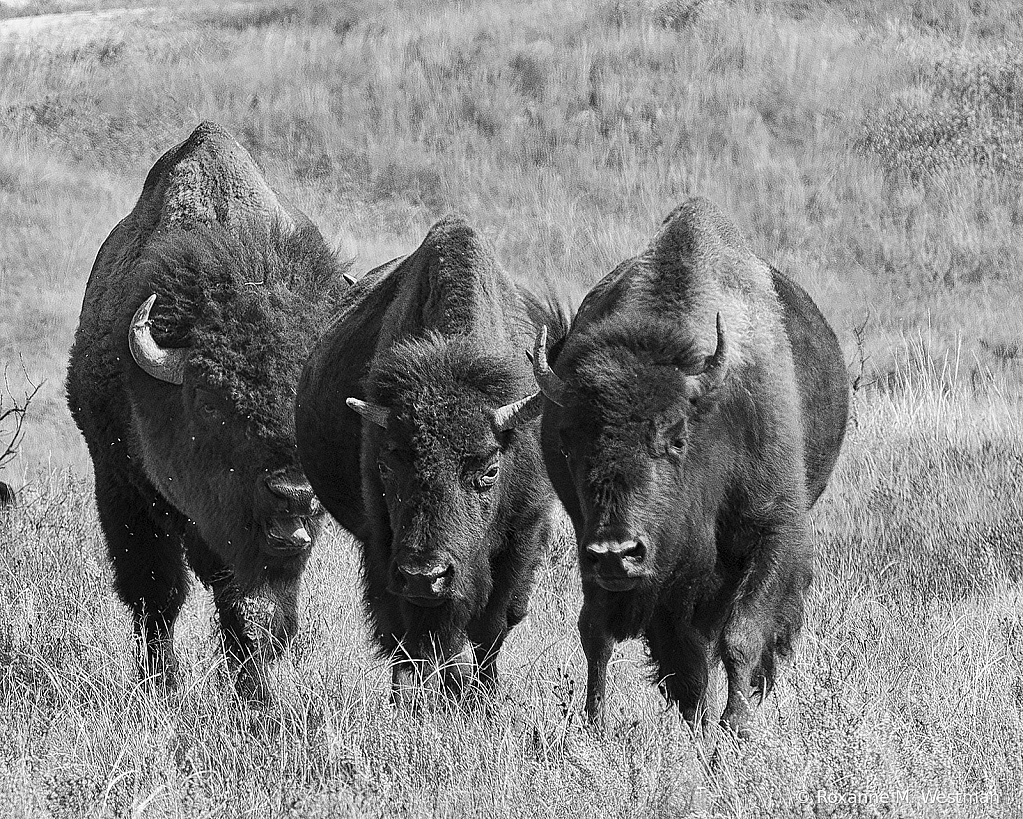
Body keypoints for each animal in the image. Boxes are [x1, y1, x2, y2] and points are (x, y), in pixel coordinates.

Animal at [67, 121, 351, 695]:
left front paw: (254, 697)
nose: (294, 491)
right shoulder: (118, 486)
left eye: (313, 407)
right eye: (212, 405)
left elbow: (257, 612)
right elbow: (155, 594)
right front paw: (160, 686)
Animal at [296, 215, 564, 695]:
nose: (426, 576)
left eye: (489, 470)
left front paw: (481, 698)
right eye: (386, 464)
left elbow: (493, 626)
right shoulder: (385, 547)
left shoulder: (525, 531)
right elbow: (413, 633)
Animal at [527, 198, 847, 736]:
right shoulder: (595, 550)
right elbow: (599, 635)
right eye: (569, 446)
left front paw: (733, 733)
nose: (617, 551)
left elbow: (742, 635)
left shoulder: (775, 530)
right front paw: (594, 727)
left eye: (676, 439)